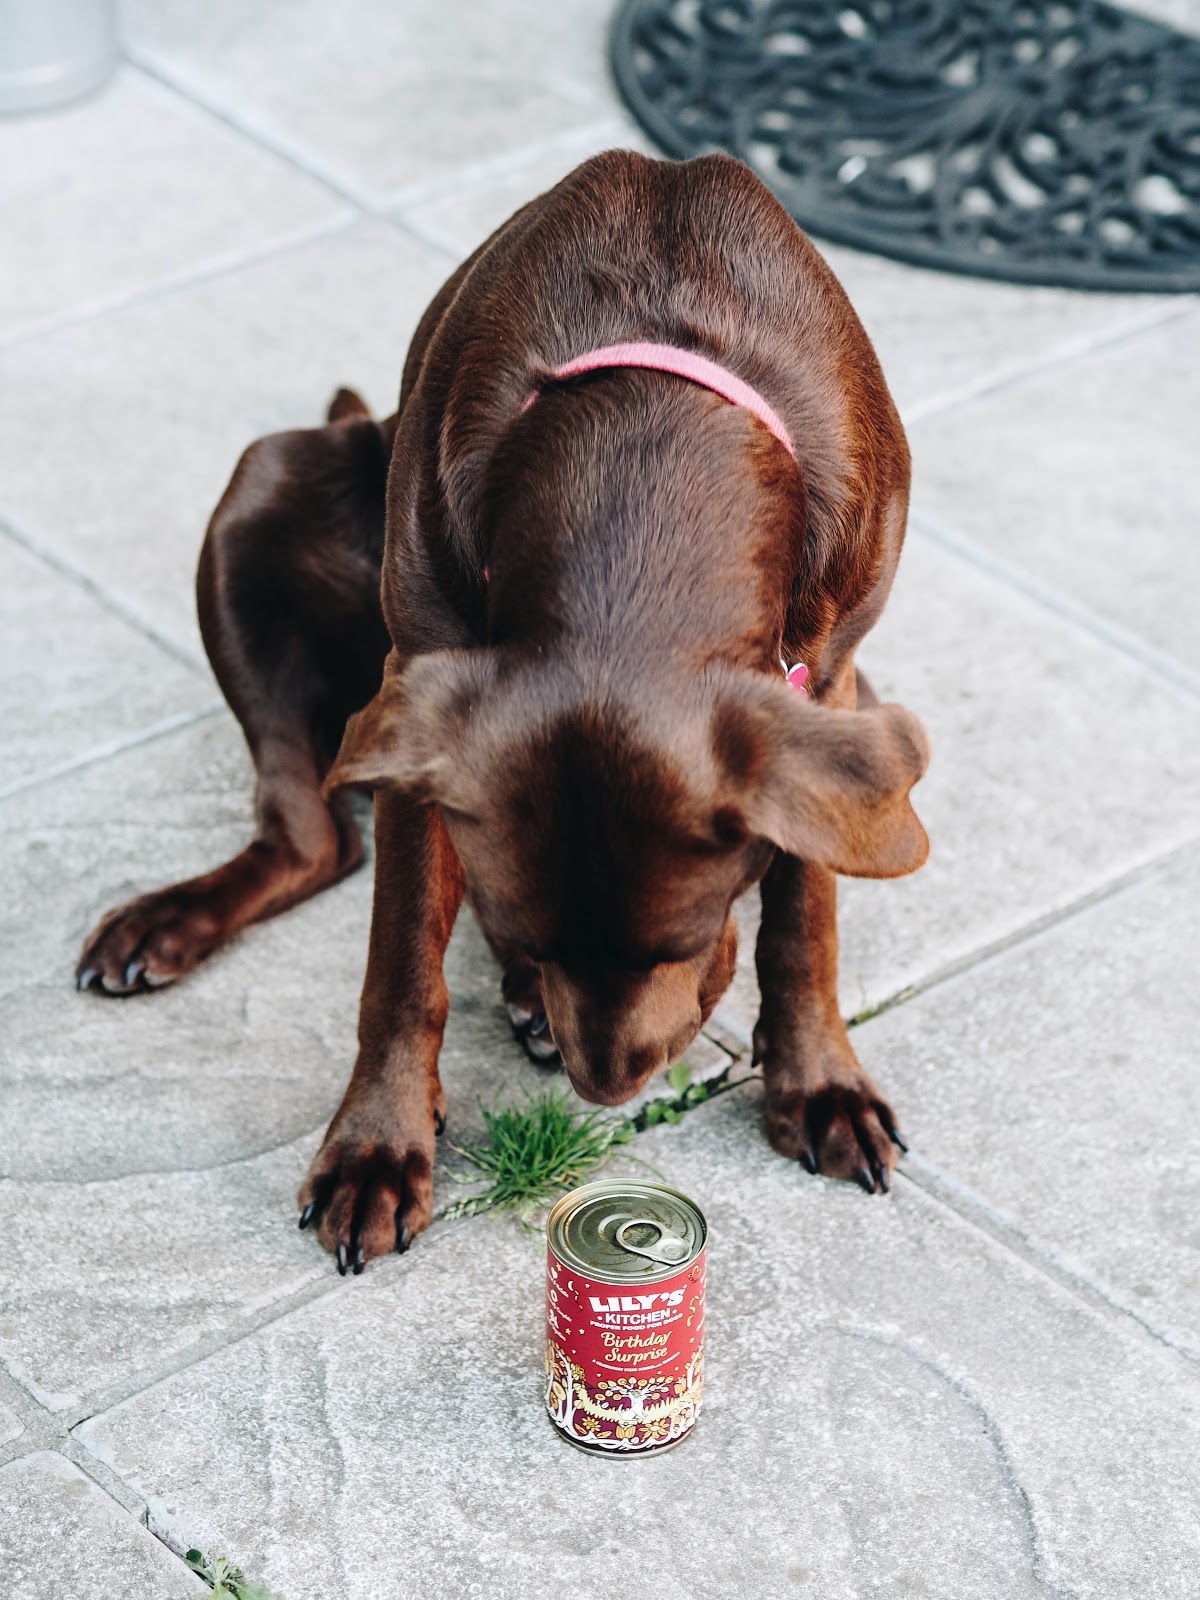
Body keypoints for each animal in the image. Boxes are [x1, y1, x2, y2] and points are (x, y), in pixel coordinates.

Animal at [77, 151, 930, 1273]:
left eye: (672, 946)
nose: (606, 1089)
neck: (645, 471)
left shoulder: (827, 682)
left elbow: (803, 917)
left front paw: (820, 1084)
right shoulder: (418, 700)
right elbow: (403, 963)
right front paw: (377, 1147)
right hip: (269, 483)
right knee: (316, 841)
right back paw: (177, 919)